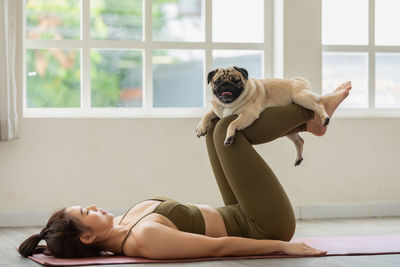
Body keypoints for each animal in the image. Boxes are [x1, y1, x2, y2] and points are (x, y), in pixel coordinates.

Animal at [195, 66, 330, 166]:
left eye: (236, 80)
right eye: (217, 82)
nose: (226, 85)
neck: (228, 105)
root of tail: (298, 80)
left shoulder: (248, 114)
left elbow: (232, 123)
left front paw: (229, 137)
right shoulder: (217, 110)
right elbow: (207, 114)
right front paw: (201, 127)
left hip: (301, 98)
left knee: (319, 106)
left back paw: (325, 119)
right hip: (288, 128)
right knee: (299, 141)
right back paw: (298, 158)